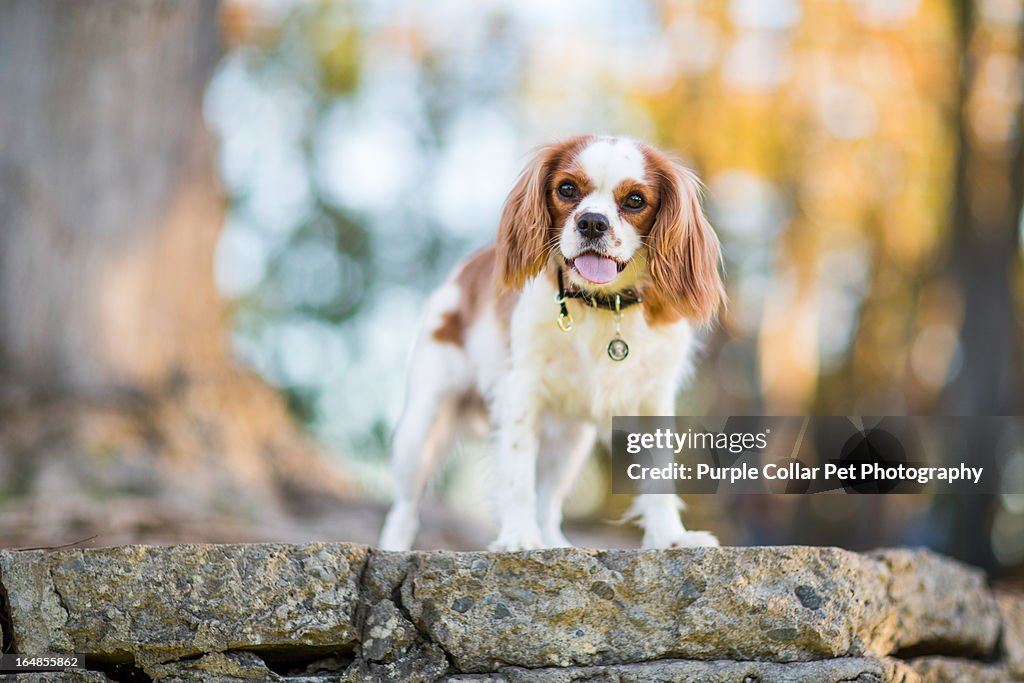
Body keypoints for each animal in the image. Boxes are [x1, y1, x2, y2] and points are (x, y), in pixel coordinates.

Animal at [380, 136, 724, 552]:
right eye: (567, 189)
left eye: (635, 200)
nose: (592, 222)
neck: (600, 303)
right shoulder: (521, 391)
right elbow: (517, 477)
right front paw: (517, 538)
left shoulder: (652, 398)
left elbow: (659, 477)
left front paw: (671, 538)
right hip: (424, 422)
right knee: (404, 504)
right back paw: (394, 548)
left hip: (570, 443)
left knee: (548, 501)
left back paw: (554, 543)